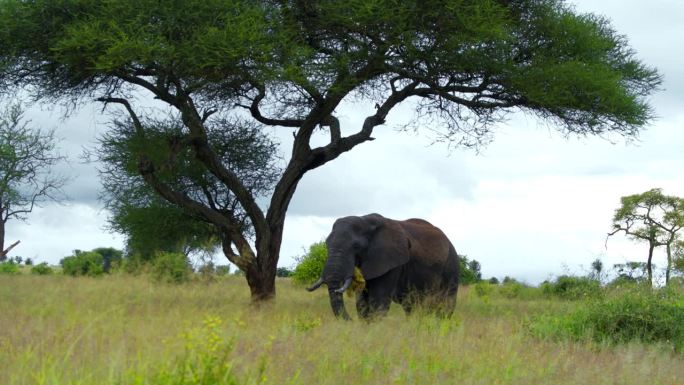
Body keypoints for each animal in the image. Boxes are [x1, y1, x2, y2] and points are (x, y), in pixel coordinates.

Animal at [306, 213, 460, 318]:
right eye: (326, 244)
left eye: (356, 246)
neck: (366, 221)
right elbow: (362, 303)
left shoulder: (392, 262)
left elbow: (378, 301)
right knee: (412, 306)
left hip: (451, 266)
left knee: (445, 305)